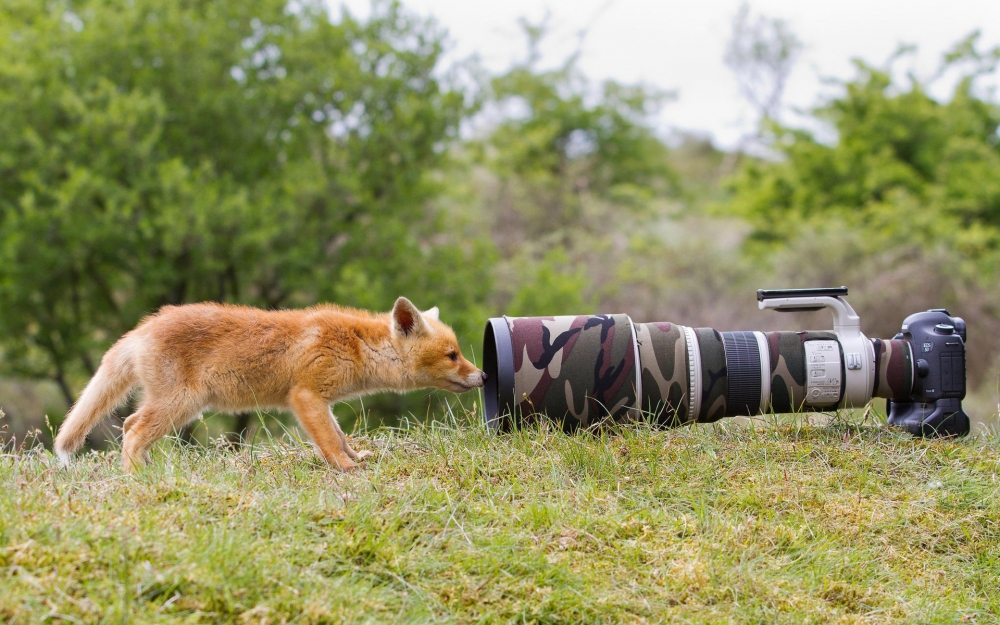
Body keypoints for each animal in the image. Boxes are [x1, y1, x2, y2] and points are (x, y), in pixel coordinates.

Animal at [53, 296, 484, 468]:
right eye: (453, 354)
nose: (482, 375)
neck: (357, 346)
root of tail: (143, 327)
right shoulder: (306, 397)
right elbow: (330, 444)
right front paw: (347, 469)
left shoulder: (322, 403)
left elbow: (341, 436)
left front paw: (357, 457)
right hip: (181, 405)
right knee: (133, 431)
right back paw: (139, 478)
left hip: (174, 406)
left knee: (128, 424)